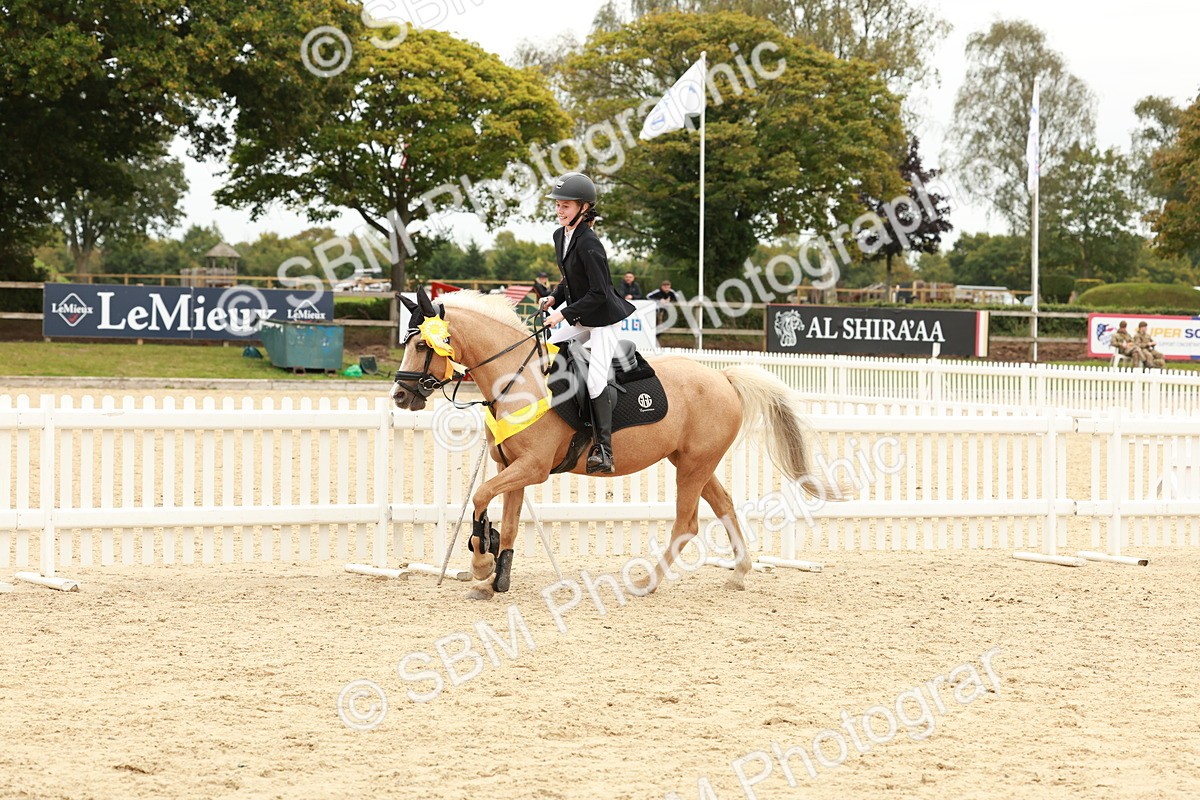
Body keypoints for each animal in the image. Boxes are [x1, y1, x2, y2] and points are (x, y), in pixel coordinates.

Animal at [391, 288, 838, 600]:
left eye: (422, 345)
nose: (399, 396)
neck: (517, 377)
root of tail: (723, 377)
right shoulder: (509, 467)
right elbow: (509, 520)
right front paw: (494, 579)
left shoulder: (532, 468)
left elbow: (481, 496)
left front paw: (482, 562)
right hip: (693, 462)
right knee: (724, 505)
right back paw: (740, 572)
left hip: (694, 466)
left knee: (687, 524)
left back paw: (646, 582)